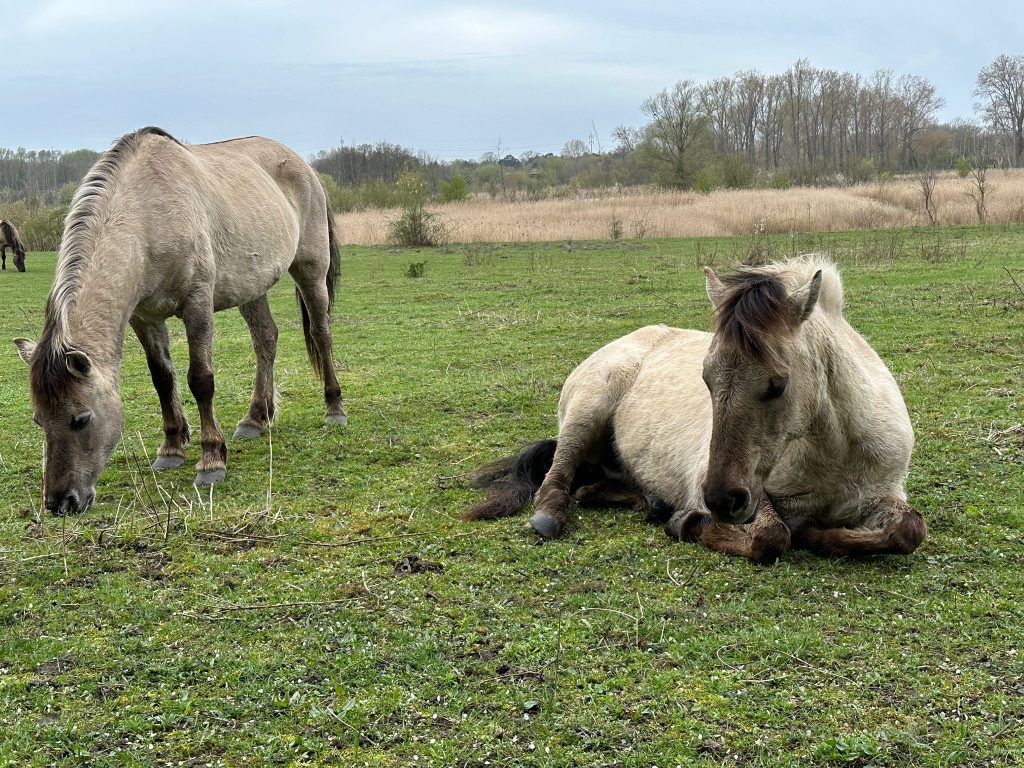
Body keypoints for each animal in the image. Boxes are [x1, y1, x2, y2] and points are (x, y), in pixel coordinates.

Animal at [12, 126, 348, 514]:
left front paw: (211, 461)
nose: (61, 502)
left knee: (322, 334)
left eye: (81, 419)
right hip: (252, 286)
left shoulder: (197, 305)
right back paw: (255, 418)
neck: (148, 214)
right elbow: (162, 379)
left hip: (311, 269)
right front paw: (172, 447)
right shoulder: (143, 317)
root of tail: (302, 164)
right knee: (266, 338)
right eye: (39, 420)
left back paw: (334, 408)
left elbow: (200, 380)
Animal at [471, 259, 929, 565]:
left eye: (778, 384)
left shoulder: (883, 495)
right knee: (558, 476)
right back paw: (550, 516)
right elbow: (772, 536)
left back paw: (652, 503)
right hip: (587, 411)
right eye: (706, 379)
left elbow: (908, 530)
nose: (721, 499)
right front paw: (690, 524)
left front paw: (821, 532)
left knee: (593, 487)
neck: (834, 452)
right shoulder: (744, 491)